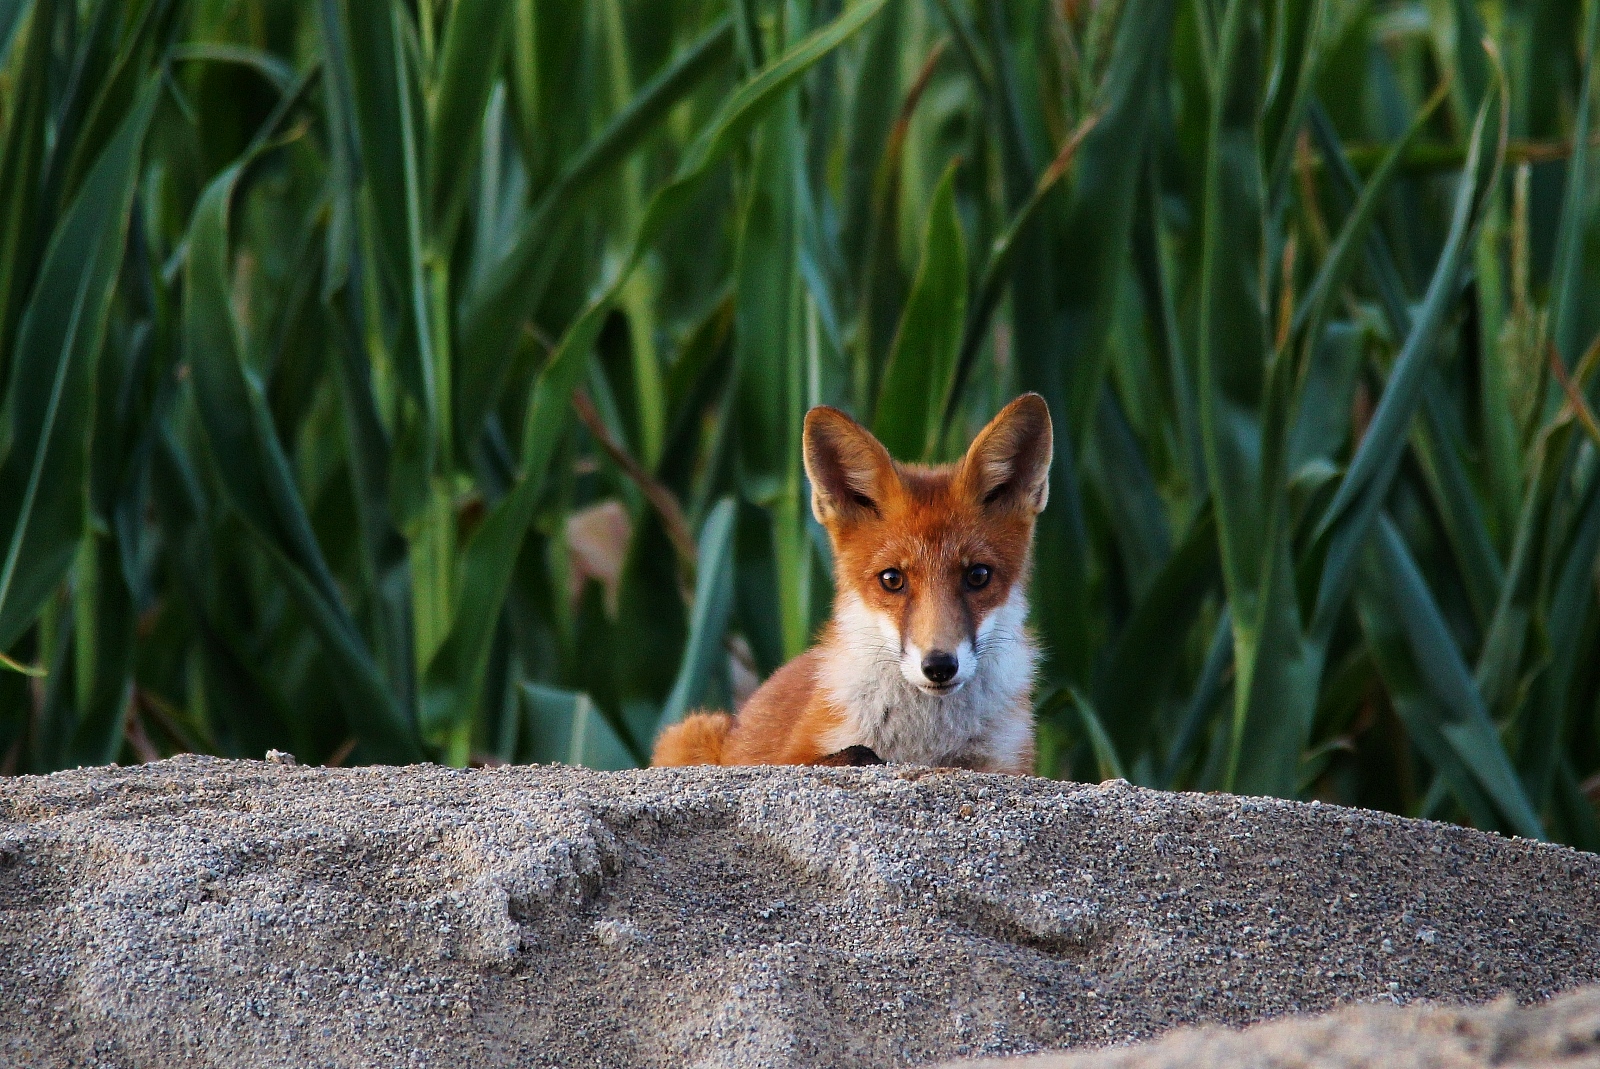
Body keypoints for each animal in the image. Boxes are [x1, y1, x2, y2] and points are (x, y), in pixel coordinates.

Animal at [649, 392, 1049, 777]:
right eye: (892, 579)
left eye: (978, 576)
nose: (939, 665)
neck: (926, 743)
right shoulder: (796, 751)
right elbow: (853, 753)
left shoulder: (1006, 763)